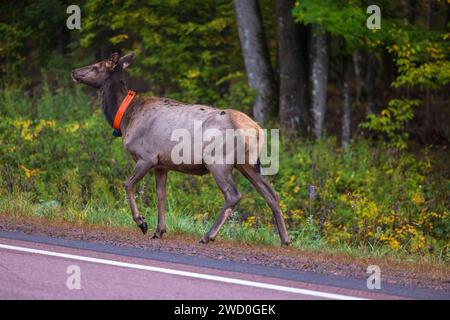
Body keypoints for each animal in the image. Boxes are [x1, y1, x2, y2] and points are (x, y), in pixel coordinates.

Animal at [70, 53, 288, 246]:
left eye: (97, 66)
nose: (74, 71)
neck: (125, 119)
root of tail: (257, 130)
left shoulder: (147, 157)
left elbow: (128, 185)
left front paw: (142, 223)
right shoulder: (161, 164)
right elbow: (161, 194)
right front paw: (159, 230)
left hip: (219, 160)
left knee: (233, 194)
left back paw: (208, 236)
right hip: (248, 164)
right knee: (271, 193)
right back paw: (285, 239)